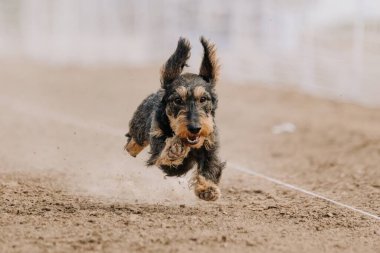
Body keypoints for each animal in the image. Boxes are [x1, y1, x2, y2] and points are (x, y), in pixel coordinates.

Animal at [124, 36, 226, 201]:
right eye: (178, 100)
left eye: (203, 99)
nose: (195, 128)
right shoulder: (158, 141)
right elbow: (167, 153)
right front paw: (174, 150)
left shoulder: (210, 145)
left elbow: (210, 166)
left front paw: (208, 188)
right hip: (139, 130)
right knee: (132, 142)